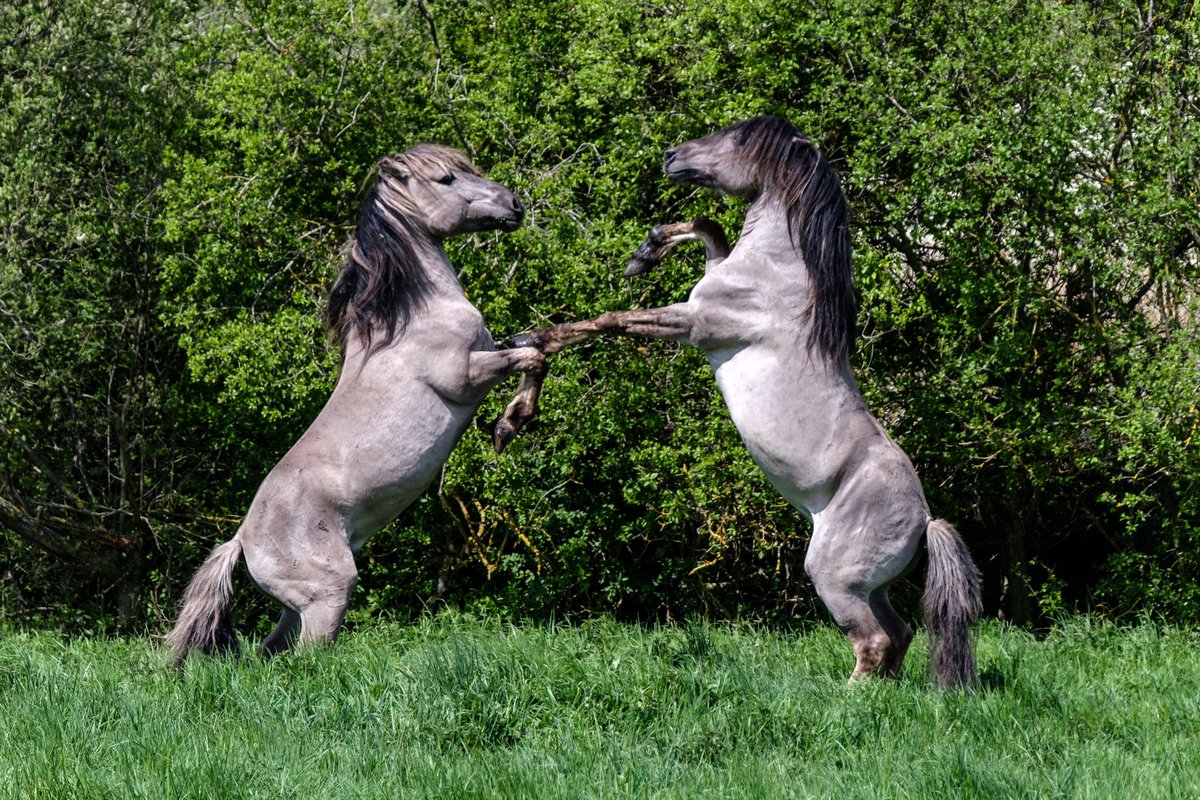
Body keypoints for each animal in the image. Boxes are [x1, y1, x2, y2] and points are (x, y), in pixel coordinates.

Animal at [167, 145, 547, 665]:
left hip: (296, 608)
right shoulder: (466, 377)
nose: (513, 205)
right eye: (446, 179)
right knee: (305, 659)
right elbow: (534, 357)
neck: (413, 317)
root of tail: (242, 540)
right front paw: (510, 423)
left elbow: (535, 347)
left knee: (270, 652)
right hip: (328, 597)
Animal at [511, 117, 982, 687]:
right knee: (900, 633)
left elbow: (610, 320)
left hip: (833, 577)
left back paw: (846, 698)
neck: (777, 272)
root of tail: (925, 521)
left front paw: (526, 362)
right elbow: (707, 225)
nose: (672, 156)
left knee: (873, 641)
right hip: (872, 587)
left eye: (737, 140)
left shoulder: (696, 324)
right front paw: (646, 252)